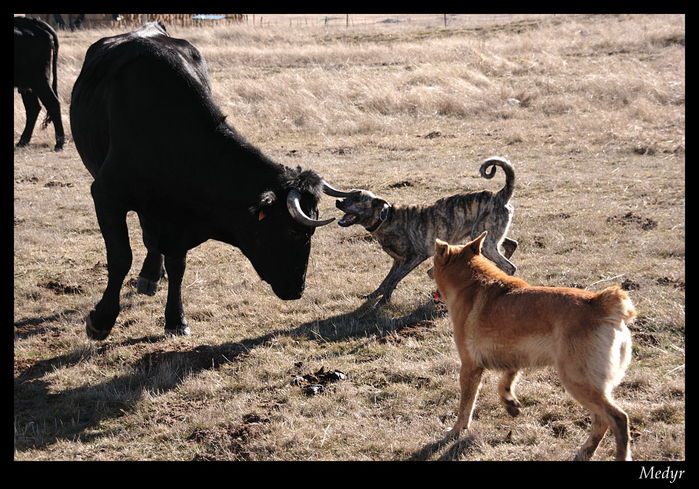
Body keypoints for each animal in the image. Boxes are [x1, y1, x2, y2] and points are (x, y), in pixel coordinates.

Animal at [13, 16, 65, 151]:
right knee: (33, 108)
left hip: (39, 80)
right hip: (28, 84)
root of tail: (34, 22)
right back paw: (23, 141)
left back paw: (59, 143)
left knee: (53, 103)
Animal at [71, 22, 356, 340]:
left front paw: (176, 318)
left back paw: (152, 275)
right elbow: (120, 257)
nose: (298, 289)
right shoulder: (106, 195)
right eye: (295, 232)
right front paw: (101, 320)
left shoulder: (179, 217)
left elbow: (178, 264)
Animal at [336, 157, 516, 304]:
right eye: (349, 195)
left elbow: (394, 279)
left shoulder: (415, 256)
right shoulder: (398, 261)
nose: (338, 201)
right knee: (512, 244)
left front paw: (382, 302)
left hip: (485, 242)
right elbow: (386, 280)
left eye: (357, 198)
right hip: (486, 236)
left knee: (510, 267)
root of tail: (499, 195)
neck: (385, 218)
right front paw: (373, 296)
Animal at [434, 231, 636, 460]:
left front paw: (455, 430)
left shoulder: (469, 367)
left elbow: (465, 407)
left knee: (617, 418)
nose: (428, 271)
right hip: (591, 385)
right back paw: (585, 451)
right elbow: (505, 383)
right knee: (602, 420)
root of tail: (600, 303)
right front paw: (510, 404)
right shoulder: (514, 358)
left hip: (577, 381)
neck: (472, 283)